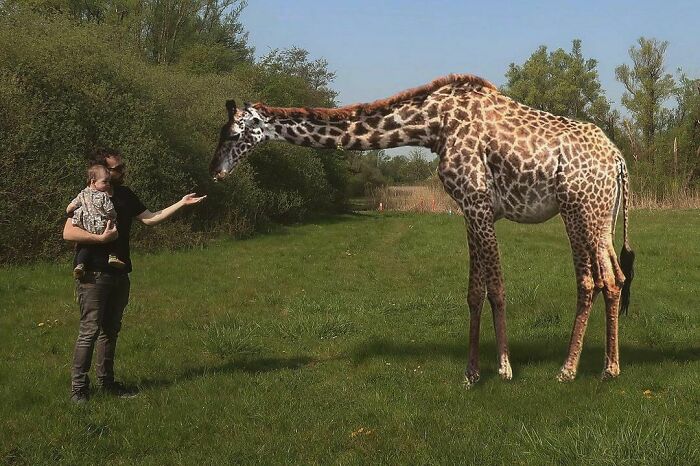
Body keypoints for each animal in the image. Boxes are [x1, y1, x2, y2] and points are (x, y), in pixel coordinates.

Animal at [208, 73, 636, 386]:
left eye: (232, 134)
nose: (215, 171)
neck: (433, 127)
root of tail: (619, 160)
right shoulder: (469, 209)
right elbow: (474, 292)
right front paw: (470, 373)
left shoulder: (478, 201)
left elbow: (496, 288)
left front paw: (504, 369)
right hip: (600, 218)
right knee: (613, 279)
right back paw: (608, 368)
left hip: (579, 211)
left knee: (593, 280)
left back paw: (569, 369)